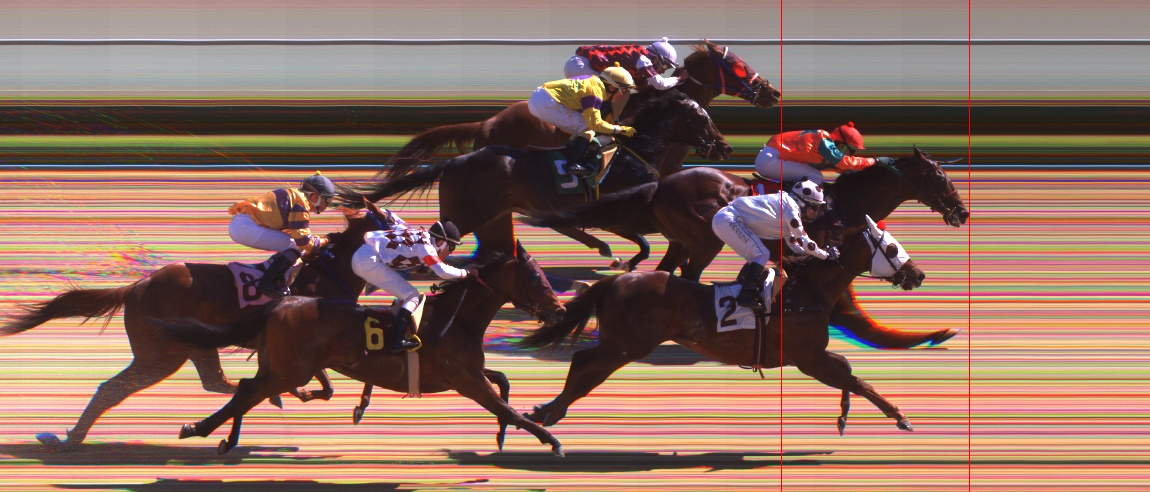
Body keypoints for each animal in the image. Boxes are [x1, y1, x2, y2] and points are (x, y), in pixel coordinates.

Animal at [0, 200, 393, 450]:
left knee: (212, 381)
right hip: (161, 354)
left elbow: (331, 384)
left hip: (190, 347)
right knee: (115, 389)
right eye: (392, 223)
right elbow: (326, 382)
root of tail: (136, 286)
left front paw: (346, 403)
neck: (328, 273)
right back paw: (71, 441)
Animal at [154, 242, 570, 456]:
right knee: (248, 393)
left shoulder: (467, 373)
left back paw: (225, 439)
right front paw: (551, 440)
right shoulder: (465, 380)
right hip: (291, 369)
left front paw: (501, 435)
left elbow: (504, 383)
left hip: (281, 367)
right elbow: (507, 406)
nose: (560, 310)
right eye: (536, 277)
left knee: (245, 390)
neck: (459, 318)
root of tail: (281, 303)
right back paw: (198, 429)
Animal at [342, 88, 731, 272]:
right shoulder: (616, 212)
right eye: (702, 117)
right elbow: (644, 243)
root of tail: (454, 161)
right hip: (469, 212)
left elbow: (645, 244)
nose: (724, 146)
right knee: (442, 236)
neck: (635, 154)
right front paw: (620, 260)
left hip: (494, 214)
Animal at [519, 215, 926, 435]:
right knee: (582, 362)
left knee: (588, 372)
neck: (805, 293)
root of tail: (615, 281)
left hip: (623, 345)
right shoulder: (808, 358)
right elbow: (857, 380)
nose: (918, 274)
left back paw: (545, 410)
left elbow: (848, 371)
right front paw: (901, 417)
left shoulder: (813, 354)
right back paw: (551, 412)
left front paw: (843, 416)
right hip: (627, 344)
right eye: (892, 248)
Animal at [526, 146, 969, 348]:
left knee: (669, 271)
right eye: (939, 177)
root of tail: (660, 183)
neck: (842, 205)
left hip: (682, 239)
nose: (962, 213)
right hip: (704, 238)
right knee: (688, 274)